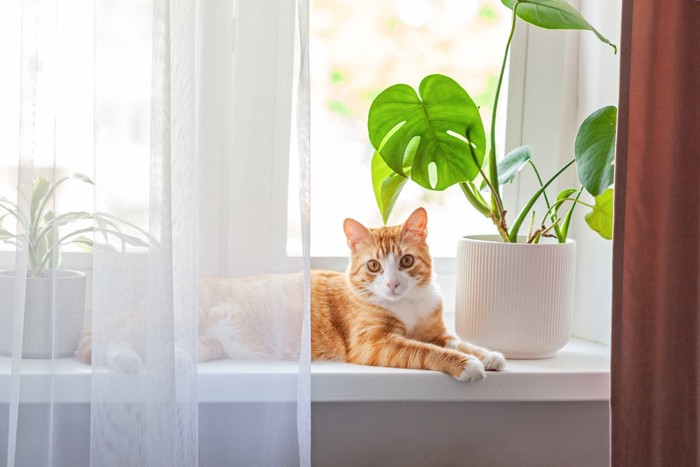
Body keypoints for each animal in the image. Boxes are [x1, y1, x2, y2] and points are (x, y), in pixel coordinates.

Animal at [75, 207, 504, 382]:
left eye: (407, 261)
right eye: (374, 267)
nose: (393, 283)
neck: (407, 307)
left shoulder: (436, 330)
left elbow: (458, 341)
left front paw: (489, 354)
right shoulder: (376, 344)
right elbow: (427, 352)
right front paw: (467, 366)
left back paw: (177, 360)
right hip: (164, 320)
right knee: (113, 342)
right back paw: (127, 360)